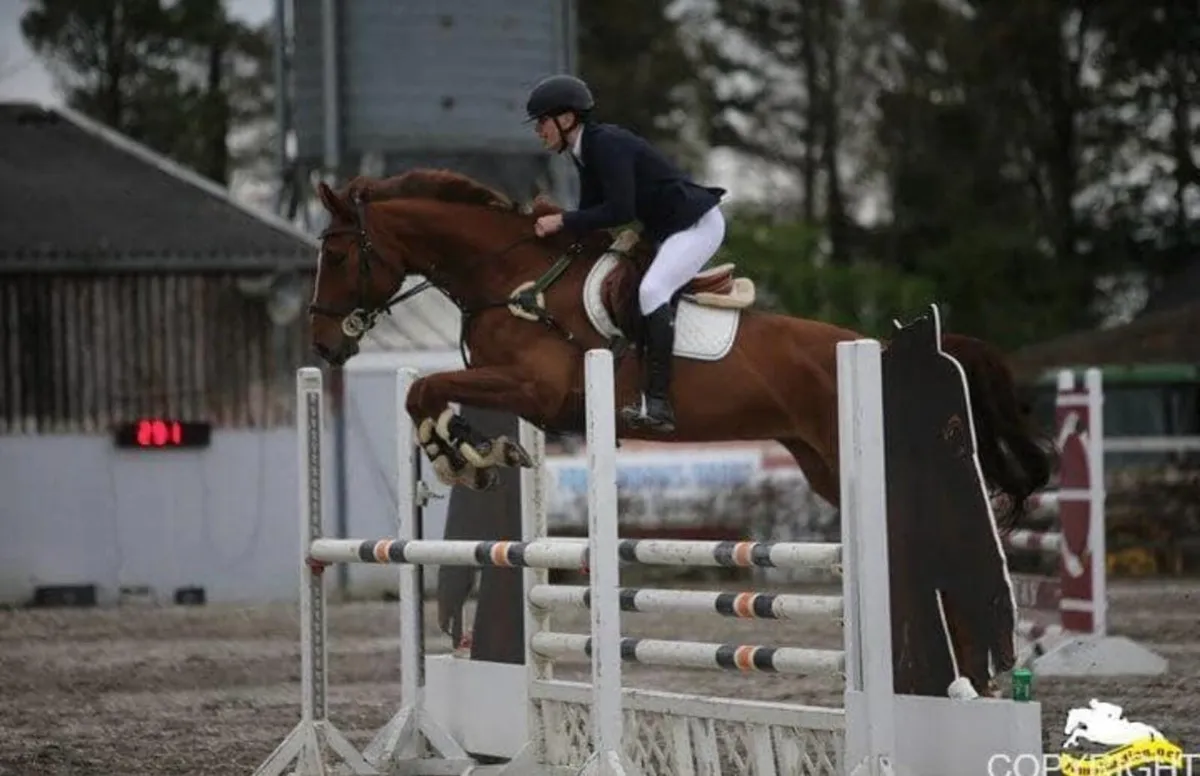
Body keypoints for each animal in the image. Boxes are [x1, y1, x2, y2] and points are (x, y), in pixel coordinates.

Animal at [307, 168, 1052, 534]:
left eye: (337, 255)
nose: (323, 345)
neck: (512, 279)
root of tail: (879, 348)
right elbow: (423, 392)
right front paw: (472, 452)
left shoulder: (536, 389)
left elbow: (423, 388)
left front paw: (463, 455)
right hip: (821, 464)